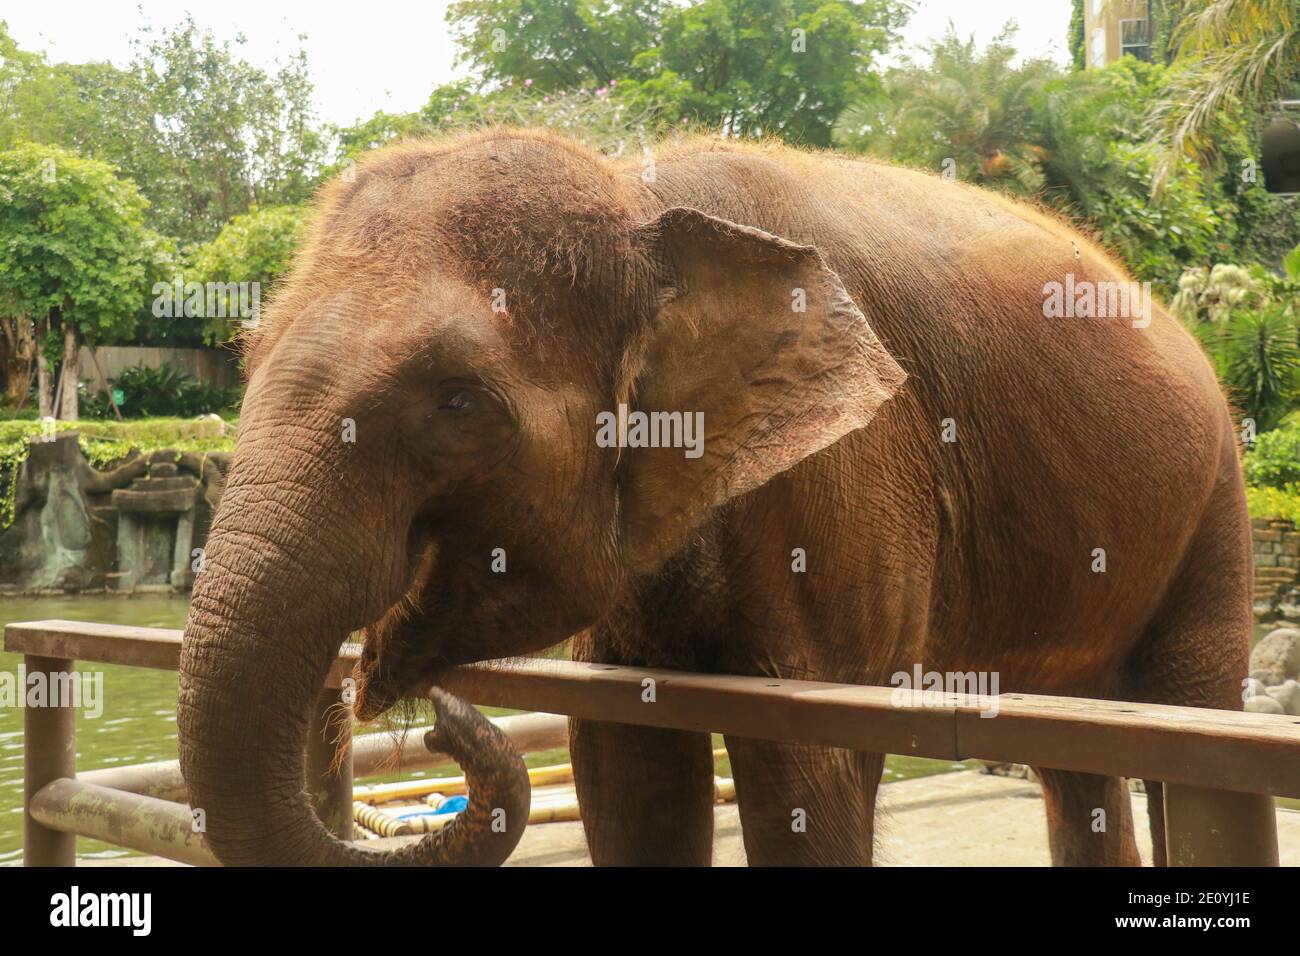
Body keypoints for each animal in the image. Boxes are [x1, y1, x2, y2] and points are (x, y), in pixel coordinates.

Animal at [178, 127, 1253, 868]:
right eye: (245, 355)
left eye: (457, 401)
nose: (443, 720)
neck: (639, 197)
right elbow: (625, 768)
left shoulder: (847, 479)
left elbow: (802, 781)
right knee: (1080, 760)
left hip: (1217, 497)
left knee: (1193, 729)